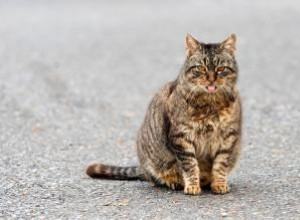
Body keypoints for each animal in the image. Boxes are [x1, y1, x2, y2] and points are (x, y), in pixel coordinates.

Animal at [86, 34, 241, 196]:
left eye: (221, 68)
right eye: (200, 68)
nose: (211, 79)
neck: (210, 104)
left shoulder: (229, 137)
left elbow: (221, 164)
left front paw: (219, 184)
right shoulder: (181, 137)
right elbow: (190, 165)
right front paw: (192, 185)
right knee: (157, 177)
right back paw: (173, 181)